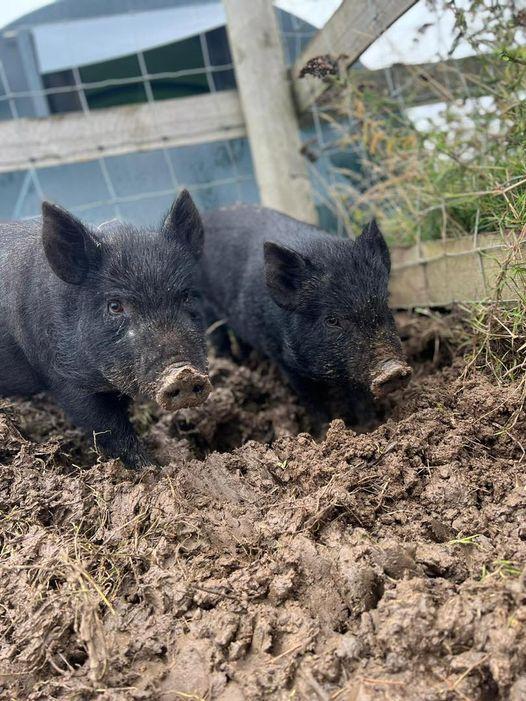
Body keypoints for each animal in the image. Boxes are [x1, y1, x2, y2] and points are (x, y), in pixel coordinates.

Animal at [0, 190, 211, 468]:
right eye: (115, 306)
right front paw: (151, 469)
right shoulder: (64, 380)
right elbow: (110, 431)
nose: (184, 374)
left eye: (186, 296)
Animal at [201, 206, 411, 427]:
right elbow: (311, 401)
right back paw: (229, 362)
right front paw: (323, 432)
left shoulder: (349, 368)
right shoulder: (284, 361)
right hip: (205, 303)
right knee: (218, 336)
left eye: (385, 304)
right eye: (332, 320)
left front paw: (370, 427)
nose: (393, 370)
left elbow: (359, 399)